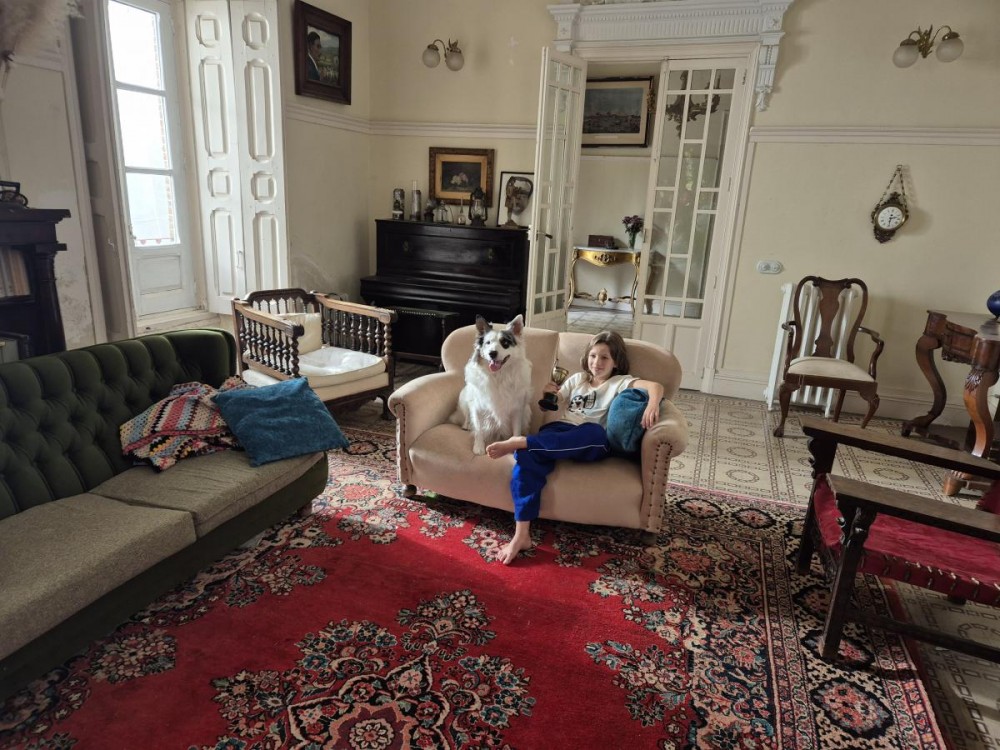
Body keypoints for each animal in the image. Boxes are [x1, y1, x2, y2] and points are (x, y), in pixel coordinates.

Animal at [451, 314, 533, 455]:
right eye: (488, 343)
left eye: (505, 343)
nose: (492, 353)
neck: (498, 376)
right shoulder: (477, 405)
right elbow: (478, 427)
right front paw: (478, 447)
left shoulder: (517, 408)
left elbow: (516, 430)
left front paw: (514, 444)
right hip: (465, 396)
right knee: (466, 415)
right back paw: (466, 425)